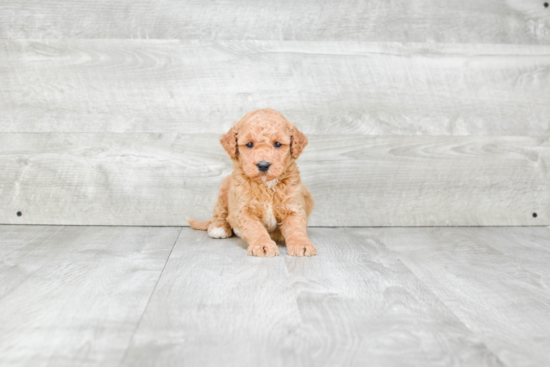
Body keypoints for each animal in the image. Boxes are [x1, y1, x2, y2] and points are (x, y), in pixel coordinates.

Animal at [188, 109, 316, 258]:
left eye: (278, 144)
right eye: (249, 144)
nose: (263, 165)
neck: (267, 185)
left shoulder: (293, 206)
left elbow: (296, 227)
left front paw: (302, 244)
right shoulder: (244, 209)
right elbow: (255, 228)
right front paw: (263, 245)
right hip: (225, 187)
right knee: (220, 212)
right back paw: (219, 228)